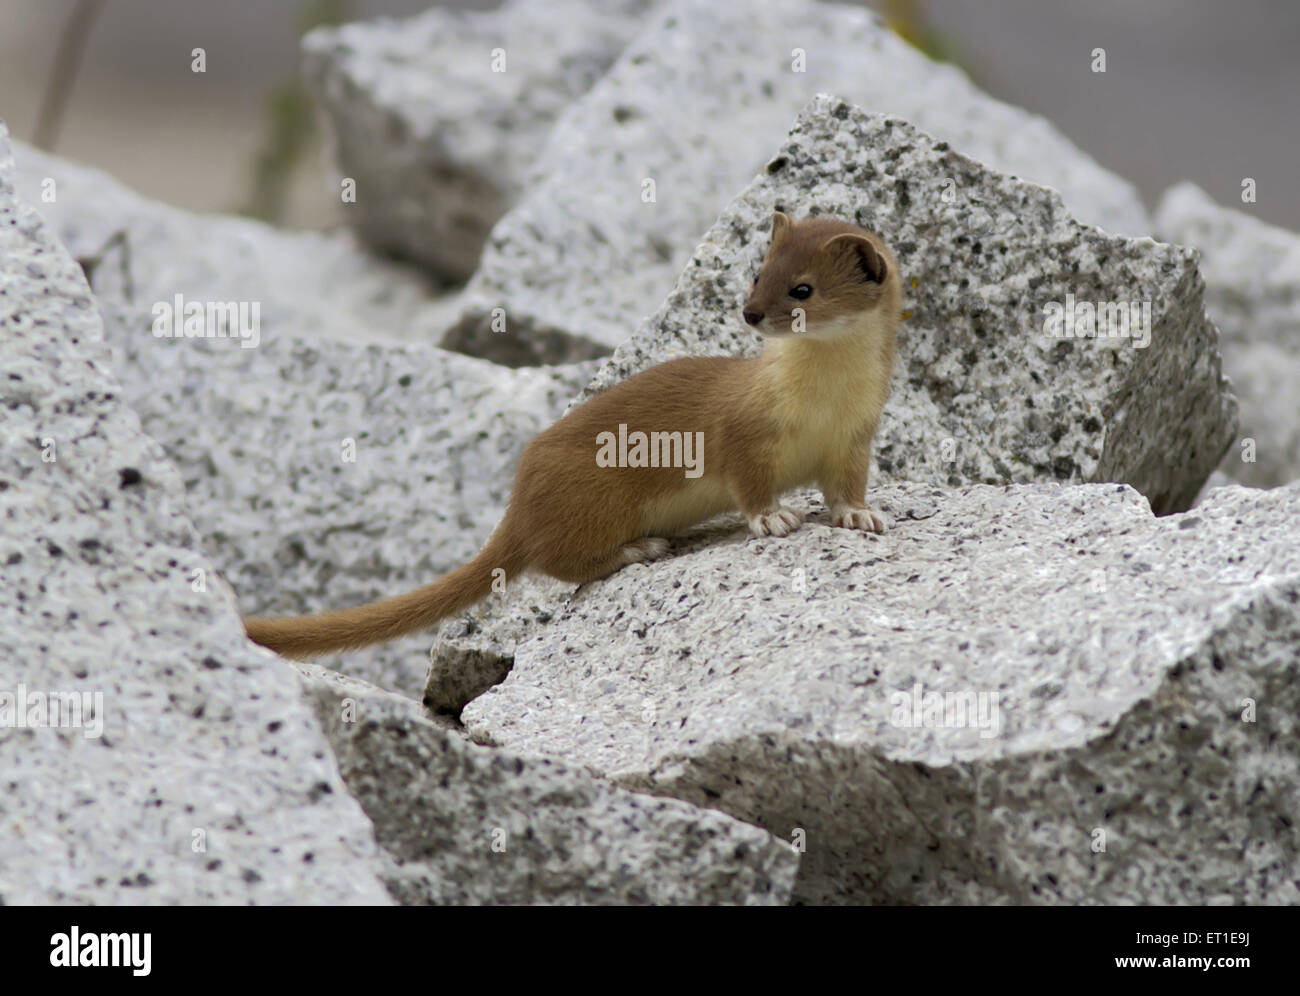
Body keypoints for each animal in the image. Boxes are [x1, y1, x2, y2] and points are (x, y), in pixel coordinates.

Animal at [248, 214, 909, 660]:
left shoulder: (856, 434)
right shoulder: (742, 430)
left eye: (802, 289)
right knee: (558, 561)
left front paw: (861, 516)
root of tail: (518, 501)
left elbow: (847, 486)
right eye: (756, 273)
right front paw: (773, 518)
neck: (822, 402)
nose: (749, 313)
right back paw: (638, 549)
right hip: (597, 497)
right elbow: (749, 483)